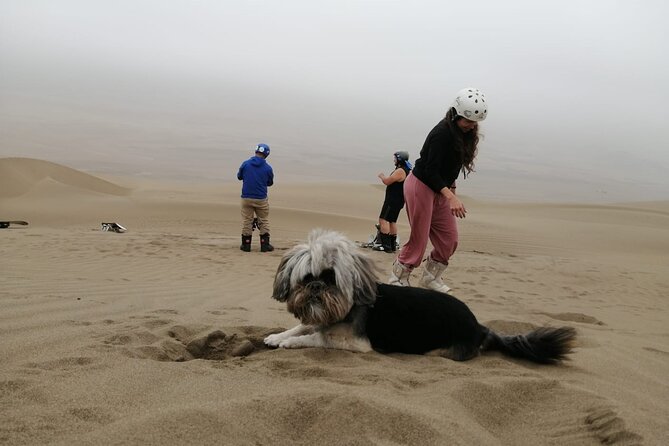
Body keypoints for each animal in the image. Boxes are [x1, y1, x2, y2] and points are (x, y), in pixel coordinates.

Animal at [264, 228, 576, 364]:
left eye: (331, 279)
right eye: (307, 278)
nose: (316, 287)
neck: (347, 307)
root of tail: (481, 328)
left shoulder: (354, 343)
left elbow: (315, 338)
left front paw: (290, 343)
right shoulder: (321, 320)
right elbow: (301, 325)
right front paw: (277, 336)